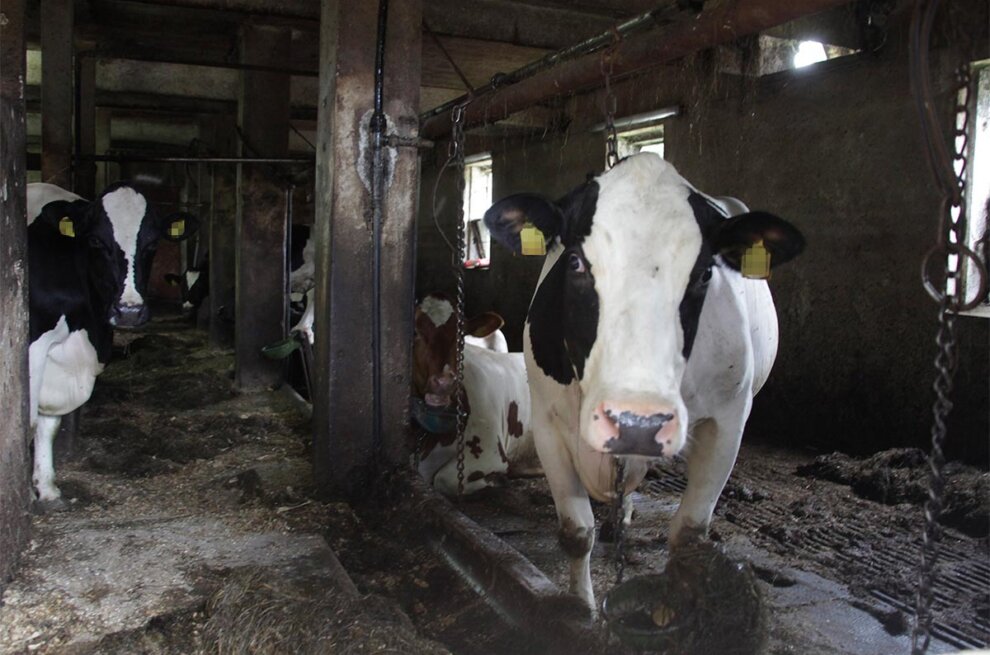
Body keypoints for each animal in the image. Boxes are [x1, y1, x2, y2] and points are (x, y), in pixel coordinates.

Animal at [26, 182, 198, 504]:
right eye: (95, 240)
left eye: (152, 244)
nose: (129, 311)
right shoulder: (32, 345)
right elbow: (26, 421)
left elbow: (48, 424)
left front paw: (47, 488)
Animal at [416, 294, 548, 494]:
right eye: (416, 332)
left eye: (460, 339)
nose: (443, 381)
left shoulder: (489, 451)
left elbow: (443, 479)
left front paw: (496, 479)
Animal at [486, 152, 808, 608]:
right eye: (575, 262)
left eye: (705, 273)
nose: (637, 422)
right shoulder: (548, 421)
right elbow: (576, 532)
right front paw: (582, 607)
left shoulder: (728, 420)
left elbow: (688, 536)